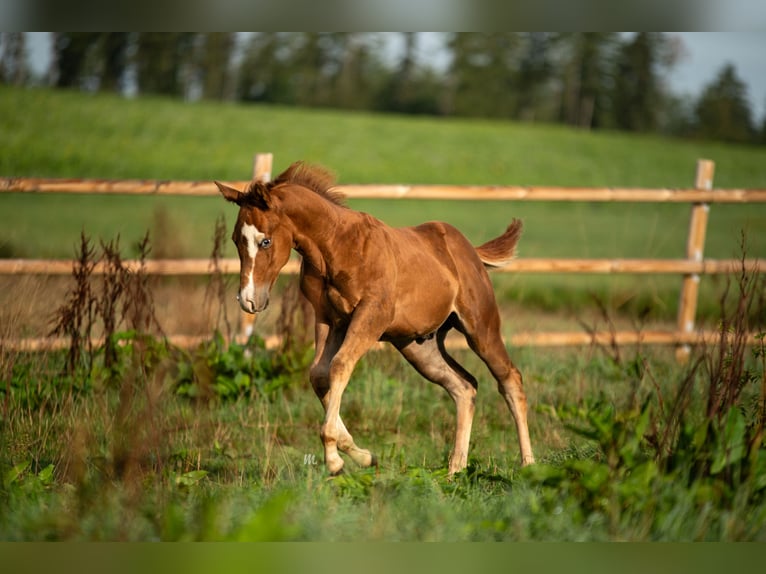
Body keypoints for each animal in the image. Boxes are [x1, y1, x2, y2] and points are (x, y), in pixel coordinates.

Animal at [216, 163, 536, 476]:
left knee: (510, 379)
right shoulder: (329, 319)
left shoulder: (371, 315)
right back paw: (455, 469)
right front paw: (363, 456)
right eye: (235, 240)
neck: (336, 247)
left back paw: (528, 464)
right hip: (419, 345)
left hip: (480, 327)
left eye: (265, 241)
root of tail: (469, 250)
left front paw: (333, 459)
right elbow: (319, 374)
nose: (249, 299)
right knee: (464, 387)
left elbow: (340, 365)